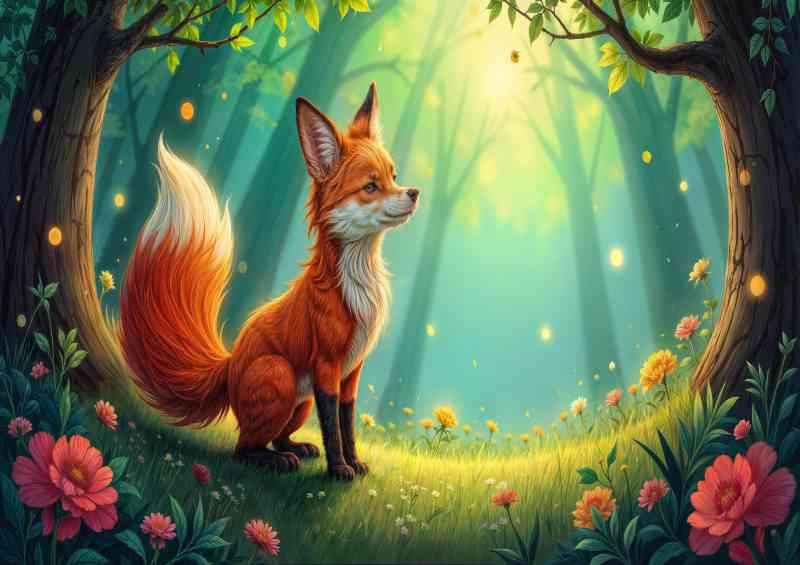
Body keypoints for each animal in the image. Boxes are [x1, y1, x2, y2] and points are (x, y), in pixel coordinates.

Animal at [119, 83, 419, 480]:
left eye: (394, 177)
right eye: (371, 186)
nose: (414, 193)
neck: (358, 284)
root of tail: (230, 364)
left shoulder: (352, 373)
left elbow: (347, 424)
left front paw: (354, 463)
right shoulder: (327, 367)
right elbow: (332, 428)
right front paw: (339, 469)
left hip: (300, 403)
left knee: (276, 437)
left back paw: (297, 448)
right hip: (280, 375)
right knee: (243, 448)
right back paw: (277, 461)